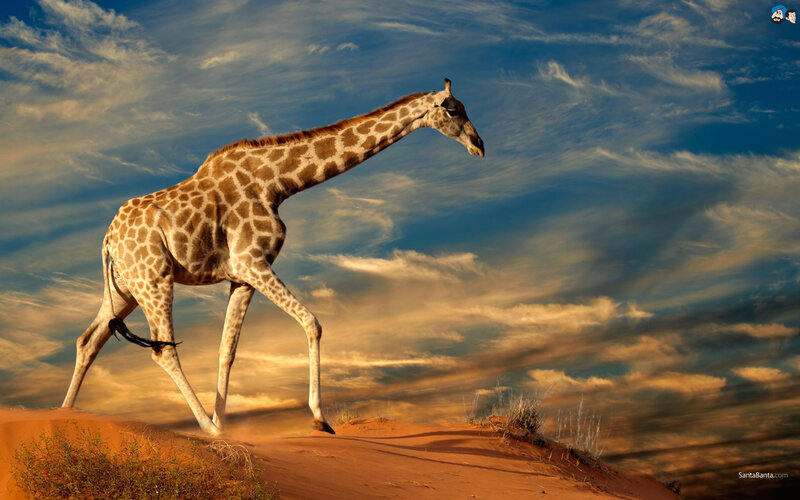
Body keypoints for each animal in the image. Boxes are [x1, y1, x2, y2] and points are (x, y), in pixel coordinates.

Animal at [61, 78, 484, 435]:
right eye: (452, 110)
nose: (479, 145)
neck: (279, 183)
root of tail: (107, 241)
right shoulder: (253, 262)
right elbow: (312, 322)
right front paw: (318, 419)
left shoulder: (240, 277)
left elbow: (227, 350)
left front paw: (227, 423)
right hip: (154, 279)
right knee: (162, 350)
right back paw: (206, 429)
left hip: (125, 288)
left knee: (88, 340)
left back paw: (65, 414)